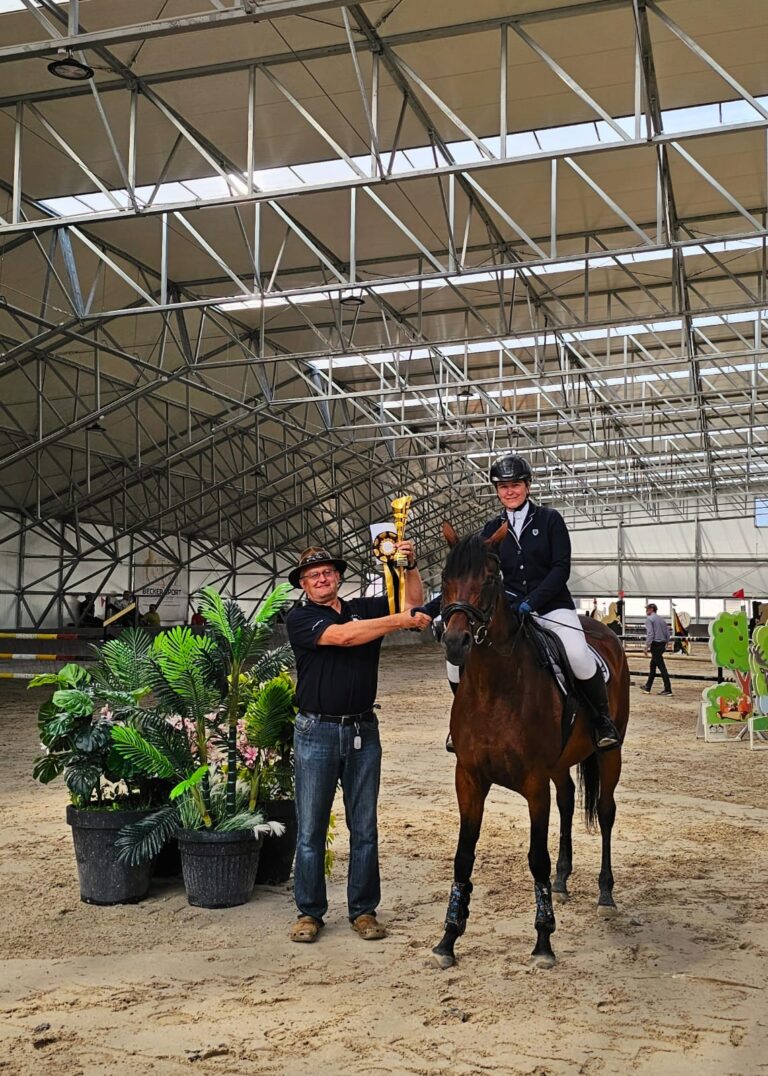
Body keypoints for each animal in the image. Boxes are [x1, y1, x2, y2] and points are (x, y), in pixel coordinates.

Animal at [432, 521, 630, 969]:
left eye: (490, 578)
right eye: (445, 577)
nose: (455, 642)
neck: (493, 687)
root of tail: (603, 630)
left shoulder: (534, 783)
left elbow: (536, 858)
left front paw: (543, 940)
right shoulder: (468, 778)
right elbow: (463, 856)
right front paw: (448, 937)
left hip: (610, 754)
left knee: (606, 812)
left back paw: (605, 893)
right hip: (561, 764)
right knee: (569, 799)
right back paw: (563, 878)